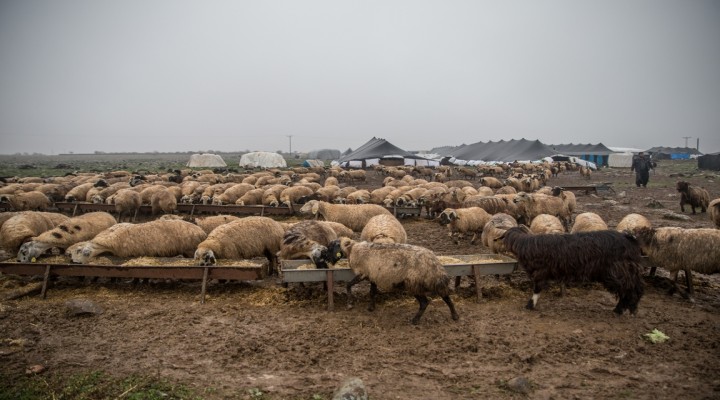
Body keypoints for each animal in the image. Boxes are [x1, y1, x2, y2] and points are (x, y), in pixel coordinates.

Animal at [500, 225, 648, 316]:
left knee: (633, 289)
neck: (526, 245)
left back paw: (624, 310)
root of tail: (631, 240)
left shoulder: (540, 272)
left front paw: (530, 305)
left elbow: (537, 290)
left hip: (619, 271)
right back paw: (621, 309)